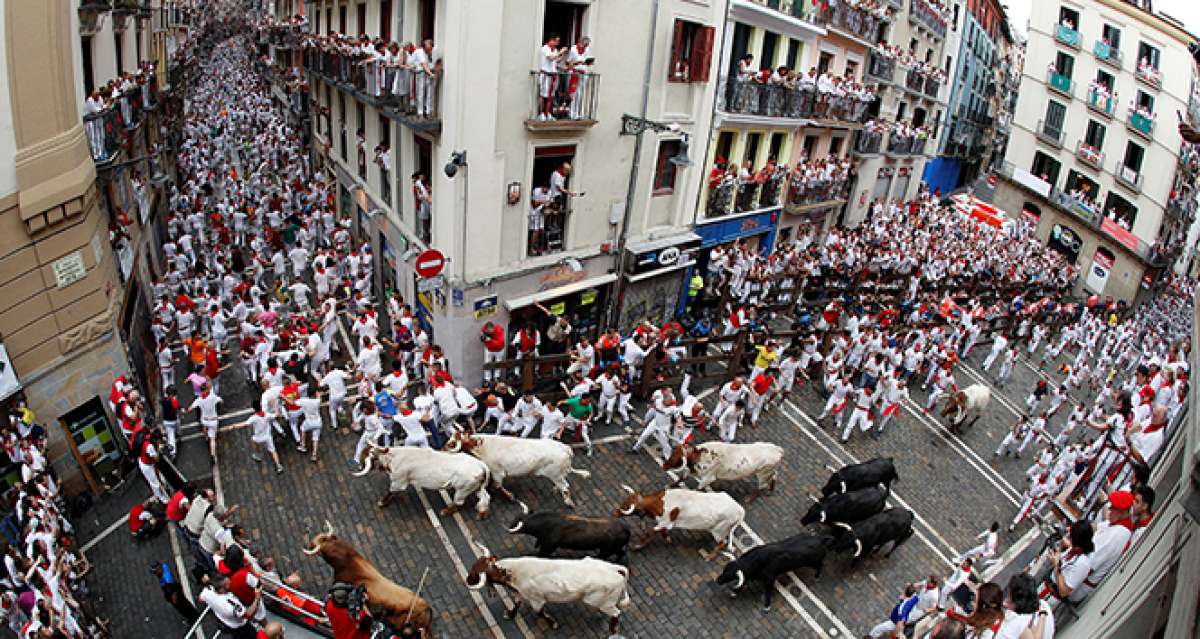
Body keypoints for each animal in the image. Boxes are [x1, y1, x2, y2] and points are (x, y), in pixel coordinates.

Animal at [350, 446, 492, 516]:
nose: (359, 466)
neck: (394, 457)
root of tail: (481, 466)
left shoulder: (398, 481)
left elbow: (390, 491)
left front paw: (382, 502)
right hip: (476, 488)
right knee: (485, 497)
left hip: (462, 490)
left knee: (459, 503)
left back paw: (445, 512)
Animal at [444, 432, 592, 506]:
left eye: (452, 443)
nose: (443, 448)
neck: (482, 446)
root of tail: (565, 448)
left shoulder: (498, 472)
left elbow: (498, 485)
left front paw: (510, 496)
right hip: (560, 473)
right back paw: (556, 490)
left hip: (555, 474)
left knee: (565, 486)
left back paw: (568, 502)